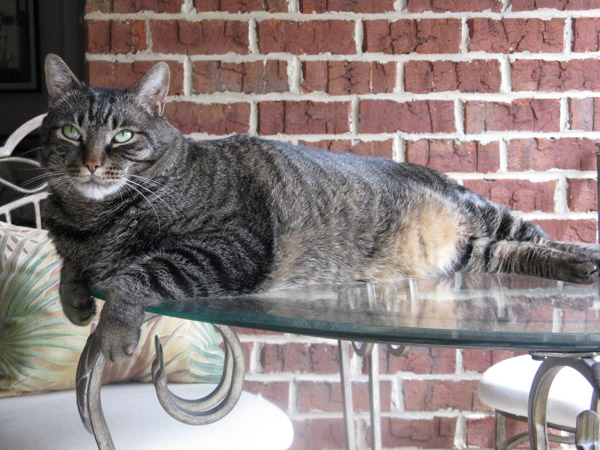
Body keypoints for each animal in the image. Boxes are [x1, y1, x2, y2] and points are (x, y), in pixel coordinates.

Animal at [41, 53, 600, 362]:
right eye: (69, 132)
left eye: (123, 136)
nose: (91, 163)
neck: (91, 221)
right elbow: (70, 266)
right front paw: (74, 297)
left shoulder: (232, 246)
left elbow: (139, 274)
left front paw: (112, 329)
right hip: (471, 250)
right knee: (510, 252)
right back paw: (575, 266)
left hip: (483, 212)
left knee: (536, 236)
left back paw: (583, 259)